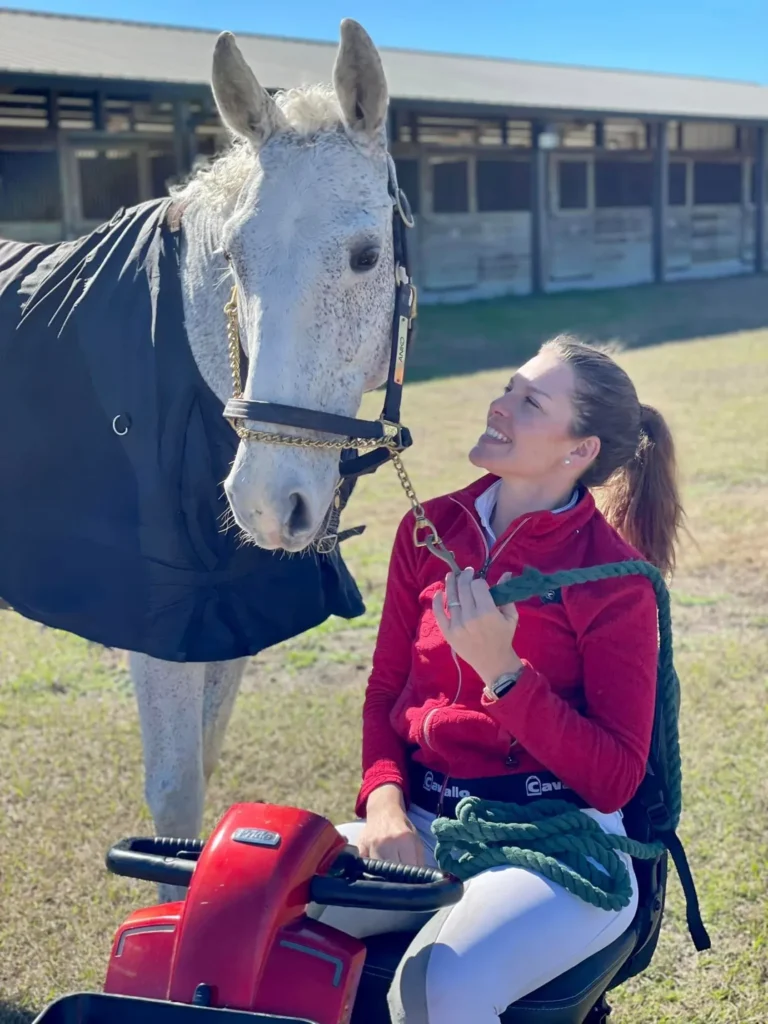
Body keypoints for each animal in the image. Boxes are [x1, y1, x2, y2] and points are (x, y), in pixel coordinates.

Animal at [0, 20, 415, 900]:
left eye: (366, 255)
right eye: (236, 260)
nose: (265, 502)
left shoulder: (226, 620)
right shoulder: (160, 626)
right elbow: (176, 795)